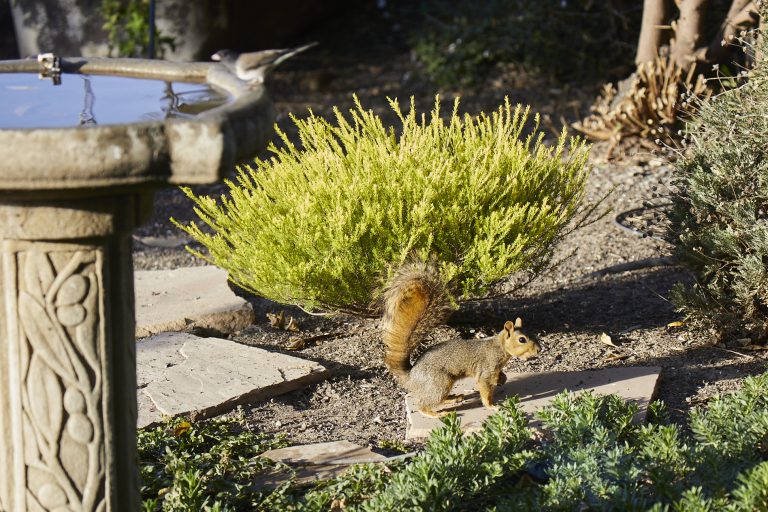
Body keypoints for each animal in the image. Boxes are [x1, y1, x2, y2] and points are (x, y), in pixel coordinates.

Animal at [381, 261, 541, 418]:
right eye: (522, 340)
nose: (539, 349)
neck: (499, 347)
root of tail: (411, 376)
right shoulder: (486, 370)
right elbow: (485, 389)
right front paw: (491, 406)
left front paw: (503, 378)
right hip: (439, 383)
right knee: (423, 405)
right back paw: (437, 414)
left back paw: (453, 398)